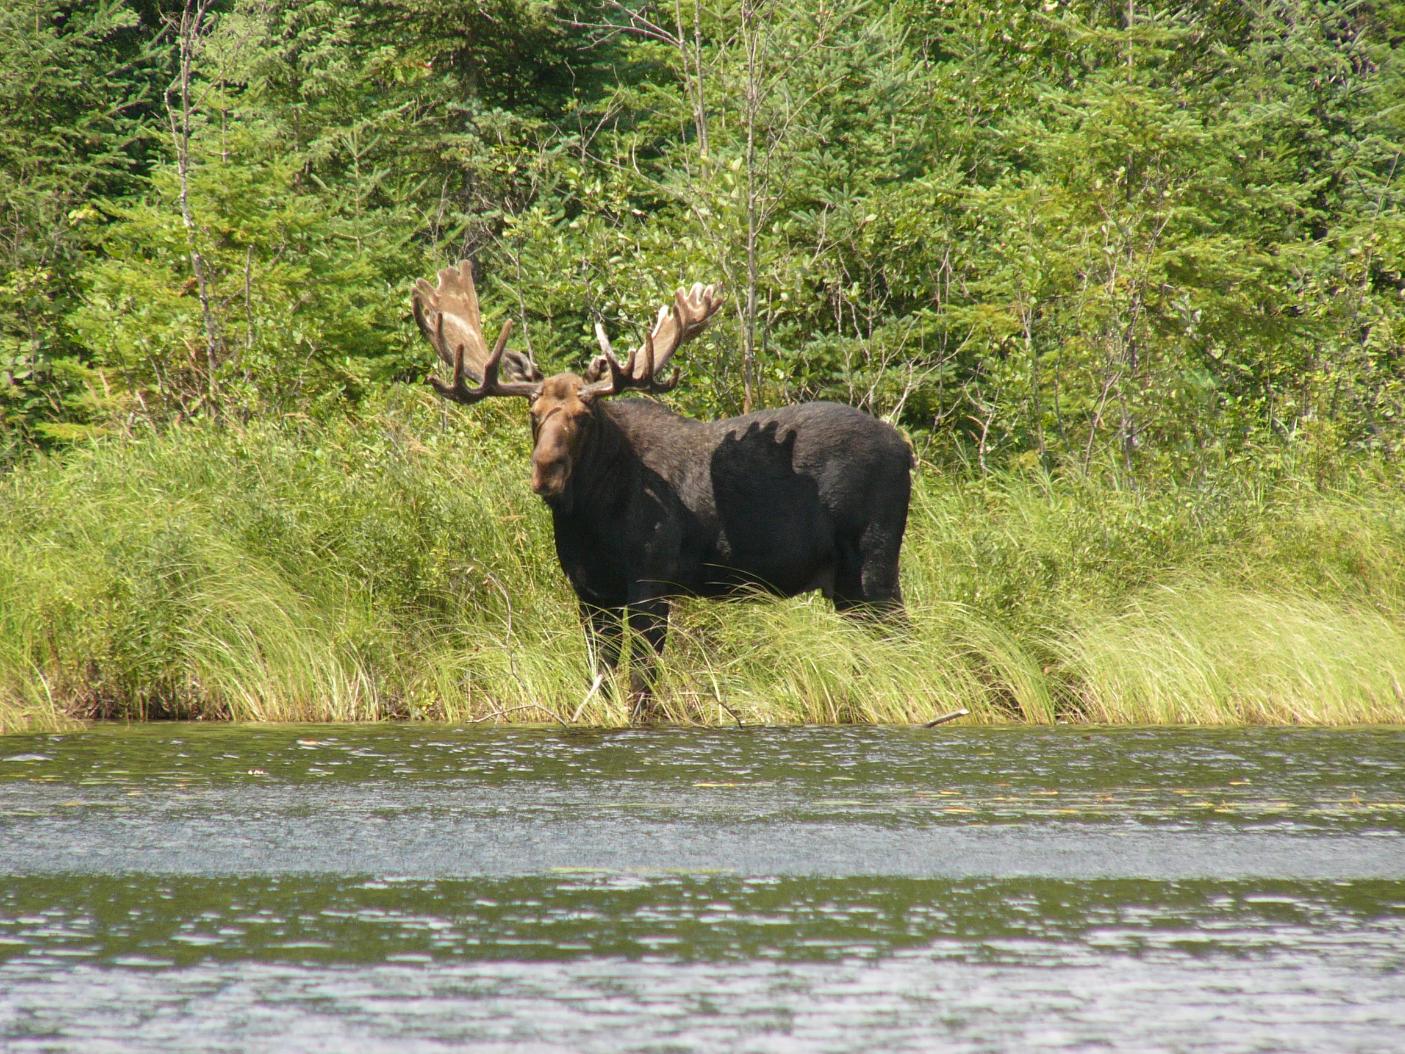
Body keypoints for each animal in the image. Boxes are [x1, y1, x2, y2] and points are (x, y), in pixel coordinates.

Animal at [412, 261, 913, 718]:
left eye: (584, 415)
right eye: (533, 414)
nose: (547, 472)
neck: (592, 520)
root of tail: (906, 452)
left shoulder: (651, 583)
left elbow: (640, 688)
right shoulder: (590, 593)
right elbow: (601, 678)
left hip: (875, 565)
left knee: (906, 642)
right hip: (845, 588)